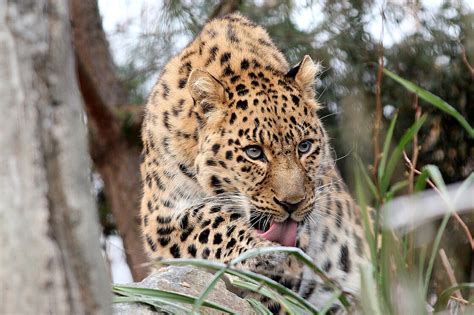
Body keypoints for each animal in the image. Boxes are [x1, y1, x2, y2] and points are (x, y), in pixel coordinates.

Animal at [139, 12, 368, 314]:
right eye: (254, 152)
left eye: (304, 147)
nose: (292, 204)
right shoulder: (159, 219)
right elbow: (208, 220)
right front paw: (262, 250)